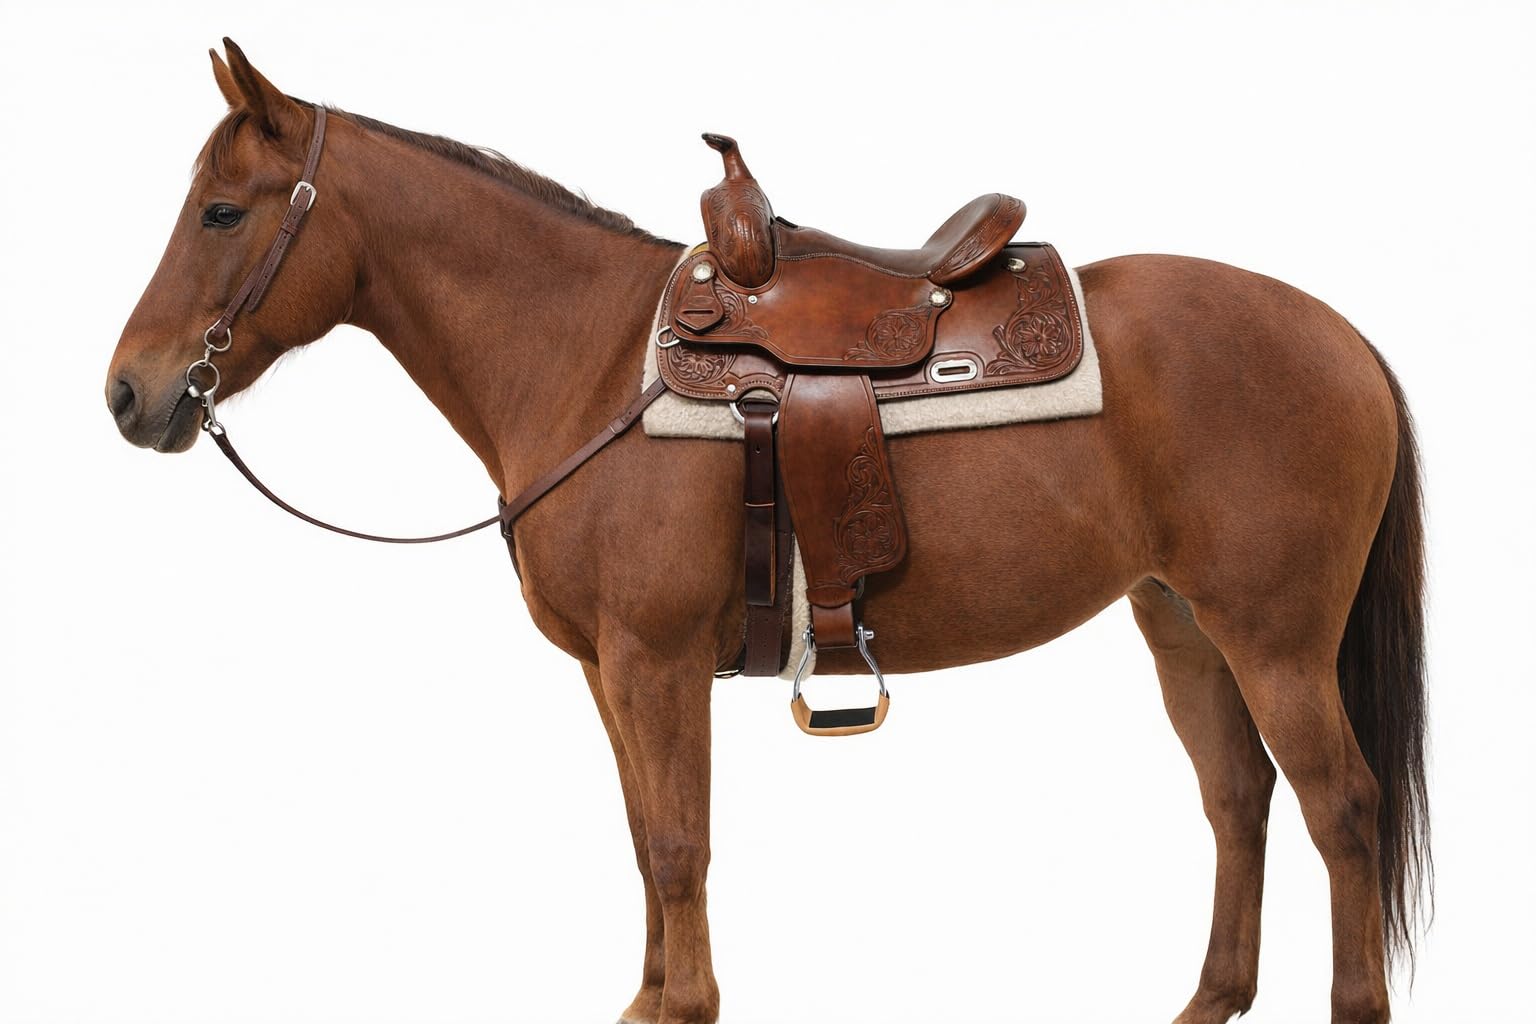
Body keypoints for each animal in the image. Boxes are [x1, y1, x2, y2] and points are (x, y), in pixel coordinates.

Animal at [106, 40, 1429, 1024]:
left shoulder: (655, 662)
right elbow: (645, 835)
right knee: (1238, 797)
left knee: (1341, 806)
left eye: (220, 211)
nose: (128, 392)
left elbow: (678, 842)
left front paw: (682, 1004)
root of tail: (1344, 335)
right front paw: (651, 996)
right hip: (1184, 625)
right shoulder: (610, 670)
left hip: (1277, 639)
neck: (589, 360)